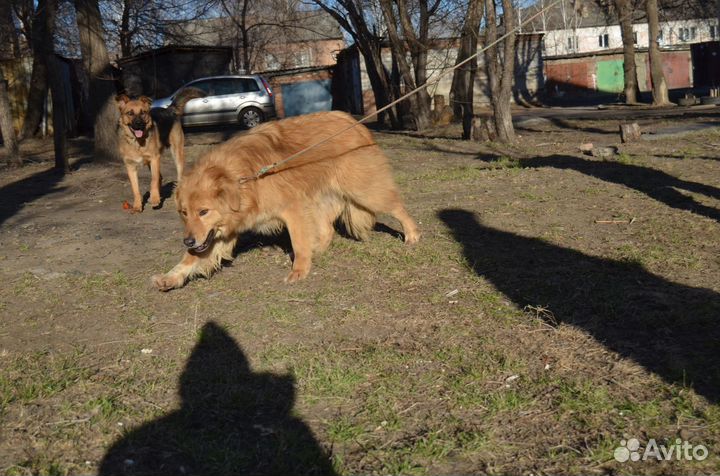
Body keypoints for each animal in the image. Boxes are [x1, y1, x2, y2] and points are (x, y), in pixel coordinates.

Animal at [153, 110, 422, 290]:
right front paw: (170, 277)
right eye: (184, 213)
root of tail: (355, 123)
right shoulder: (217, 233)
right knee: (327, 230)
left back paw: (412, 235)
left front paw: (299, 270)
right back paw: (319, 249)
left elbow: (299, 243)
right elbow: (191, 258)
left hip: (363, 191)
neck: (243, 179)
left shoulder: (293, 209)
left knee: (397, 207)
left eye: (203, 211)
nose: (187, 240)